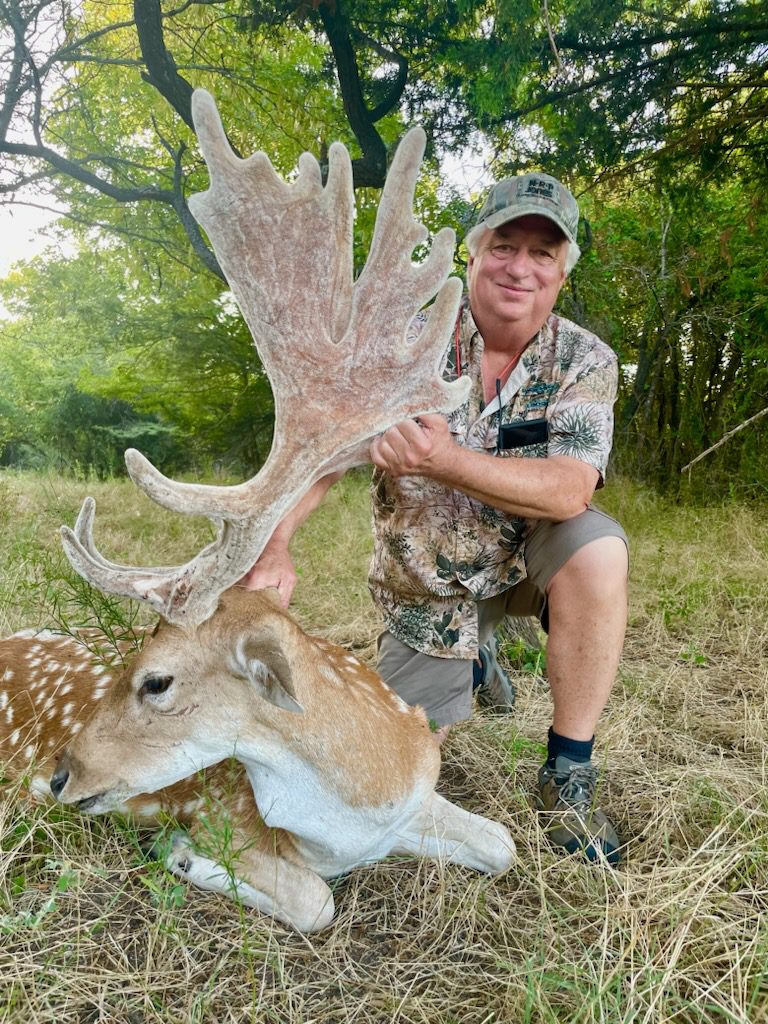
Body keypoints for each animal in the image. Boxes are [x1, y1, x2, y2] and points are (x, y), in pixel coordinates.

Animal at [1, 91, 515, 932]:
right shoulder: (229, 813)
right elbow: (316, 901)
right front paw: (182, 856)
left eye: (157, 681)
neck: (362, 805)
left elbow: (502, 844)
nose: (61, 776)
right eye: (130, 660)